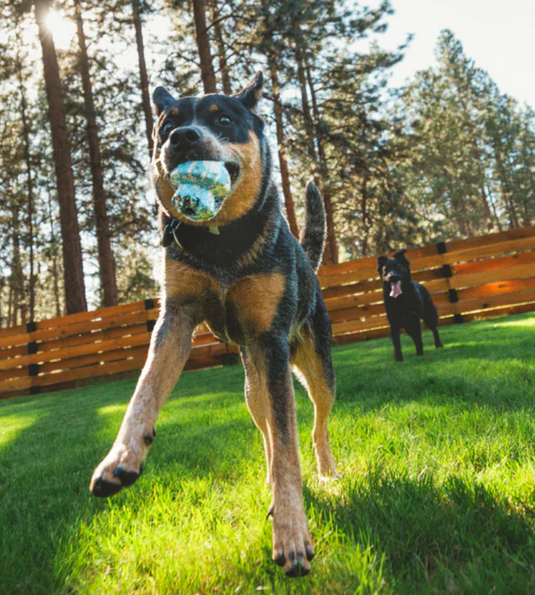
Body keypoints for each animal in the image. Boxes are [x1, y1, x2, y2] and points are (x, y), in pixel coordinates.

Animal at [90, 72, 338, 580]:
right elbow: (144, 392)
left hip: (314, 368)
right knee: (266, 430)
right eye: (166, 125)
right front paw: (120, 459)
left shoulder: (270, 340)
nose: (184, 138)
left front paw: (292, 535)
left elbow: (290, 445)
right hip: (252, 387)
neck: (221, 243)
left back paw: (326, 473)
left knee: (315, 424)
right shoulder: (176, 318)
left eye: (223, 119)